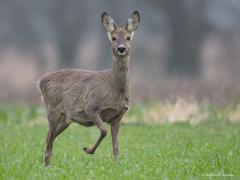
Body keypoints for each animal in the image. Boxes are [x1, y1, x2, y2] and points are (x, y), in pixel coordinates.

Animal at [36, 10, 140, 165]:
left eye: (128, 38)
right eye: (113, 38)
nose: (121, 48)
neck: (114, 90)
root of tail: (41, 81)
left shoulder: (118, 117)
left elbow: (116, 146)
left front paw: (117, 164)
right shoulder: (90, 107)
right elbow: (103, 131)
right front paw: (88, 150)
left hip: (66, 118)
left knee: (49, 136)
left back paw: (46, 164)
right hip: (52, 110)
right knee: (49, 138)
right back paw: (47, 164)